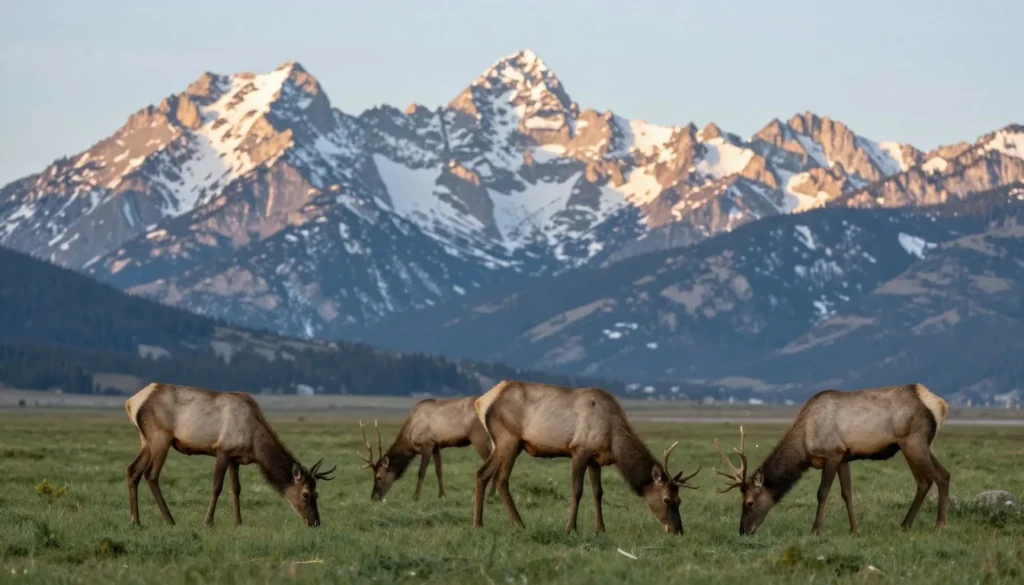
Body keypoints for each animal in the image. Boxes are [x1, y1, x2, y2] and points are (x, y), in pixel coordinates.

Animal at [124, 382, 335, 528]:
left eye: (317, 493)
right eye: (306, 494)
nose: (315, 522)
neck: (254, 443)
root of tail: (131, 402)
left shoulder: (236, 458)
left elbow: (236, 488)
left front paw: (238, 521)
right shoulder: (223, 450)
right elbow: (217, 486)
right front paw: (208, 521)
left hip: (146, 440)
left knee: (133, 470)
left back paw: (135, 520)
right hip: (160, 437)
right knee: (151, 474)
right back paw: (169, 519)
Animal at [355, 397, 496, 501]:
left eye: (378, 477)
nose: (374, 497)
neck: (410, 438)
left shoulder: (427, 444)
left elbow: (421, 471)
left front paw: (416, 495)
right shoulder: (436, 446)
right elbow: (439, 471)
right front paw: (442, 494)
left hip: (479, 436)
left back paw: (491, 495)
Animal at [471, 380, 701, 534]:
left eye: (680, 500)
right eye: (667, 499)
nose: (678, 530)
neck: (613, 440)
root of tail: (482, 401)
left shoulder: (595, 459)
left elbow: (598, 492)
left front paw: (600, 529)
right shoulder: (579, 450)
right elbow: (577, 490)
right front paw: (570, 528)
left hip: (500, 444)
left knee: (482, 473)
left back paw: (478, 524)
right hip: (509, 439)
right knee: (501, 479)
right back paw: (519, 523)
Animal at [713, 383, 950, 536]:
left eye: (749, 503)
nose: (743, 531)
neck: (805, 444)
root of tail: (940, 404)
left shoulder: (832, 453)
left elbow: (822, 493)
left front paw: (815, 530)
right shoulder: (844, 456)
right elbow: (847, 492)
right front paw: (854, 530)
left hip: (915, 442)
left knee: (942, 476)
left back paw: (939, 525)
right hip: (913, 446)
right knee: (924, 481)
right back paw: (905, 524)